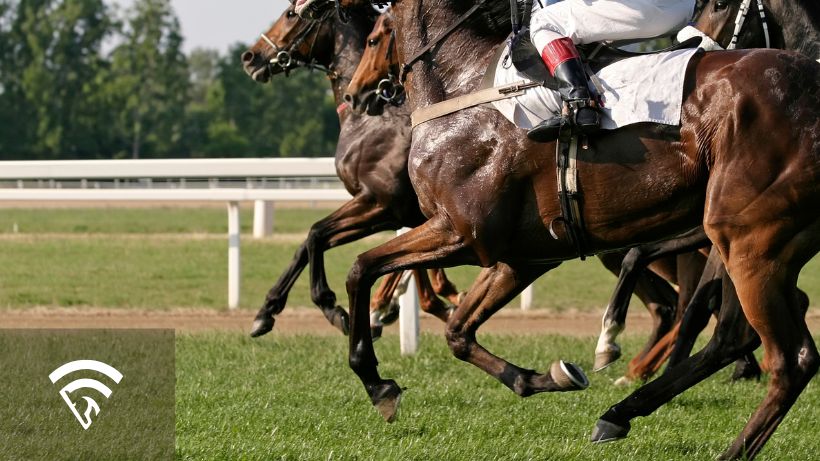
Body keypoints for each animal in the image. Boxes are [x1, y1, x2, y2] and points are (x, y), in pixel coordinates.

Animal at [242, 3, 462, 338]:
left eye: (290, 13)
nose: (250, 56)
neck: (370, 120)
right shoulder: (391, 213)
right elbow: (308, 244)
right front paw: (266, 311)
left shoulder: (380, 203)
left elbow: (316, 233)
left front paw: (334, 308)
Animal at [302, 1, 820, 458]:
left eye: (376, 36)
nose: (357, 94)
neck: (466, 82)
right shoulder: (521, 256)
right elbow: (458, 330)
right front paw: (546, 377)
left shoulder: (462, 234)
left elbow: (361, 267)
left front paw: (376, 380)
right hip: (749, 243)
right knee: (737, 333)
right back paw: (620, 410)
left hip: (747, 242)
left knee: (788, 358)